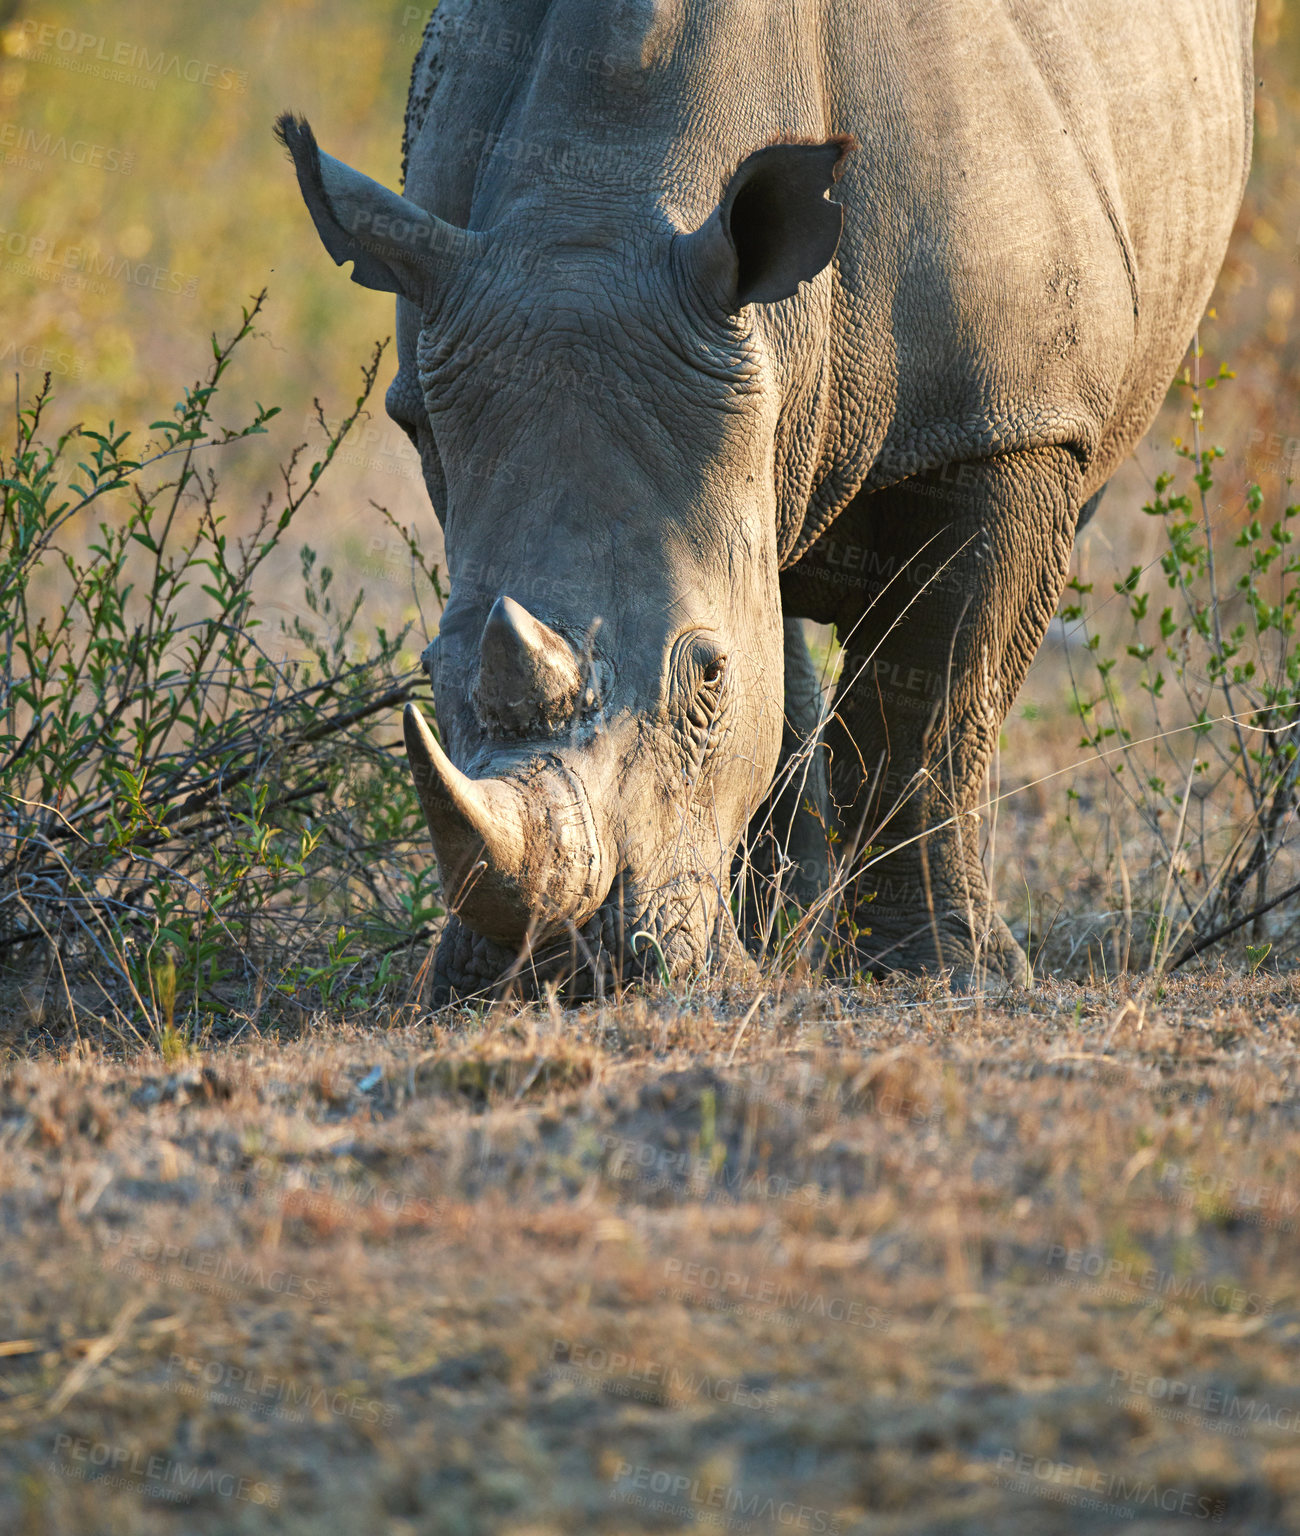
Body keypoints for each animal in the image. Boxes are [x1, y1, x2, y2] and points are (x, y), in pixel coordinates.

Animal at [278, 0, 1260, 995]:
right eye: (431, 667)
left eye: (707, 676)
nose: (552, 972)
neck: (601, 198)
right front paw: (763, 949)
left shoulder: (1000, 422)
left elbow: (926, 708)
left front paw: (938, 974)